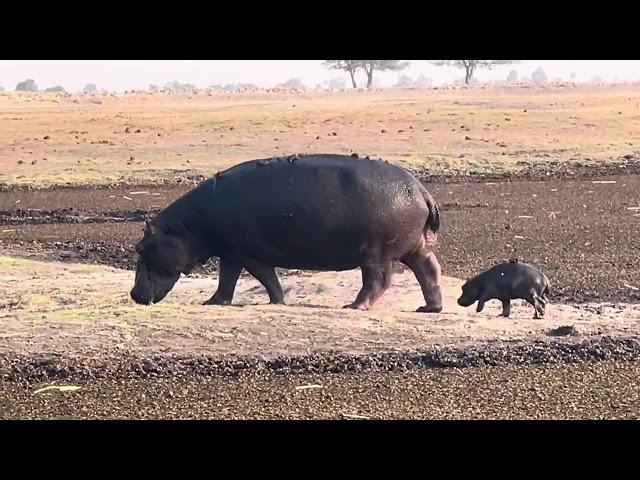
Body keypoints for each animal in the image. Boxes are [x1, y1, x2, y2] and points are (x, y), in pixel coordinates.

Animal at [128, 152, 442, 314]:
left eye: (140, 248)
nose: (133, 294)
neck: (186, 228)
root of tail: (422, 191)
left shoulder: (246, 252)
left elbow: (264, 276)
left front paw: (276, 301)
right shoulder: (231, 252)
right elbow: (228, 278)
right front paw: (213, 302)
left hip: (375, 254)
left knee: (377, 281)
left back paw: (353, 306)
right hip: (417, 247)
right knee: (429, 272)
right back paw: (429, 308)